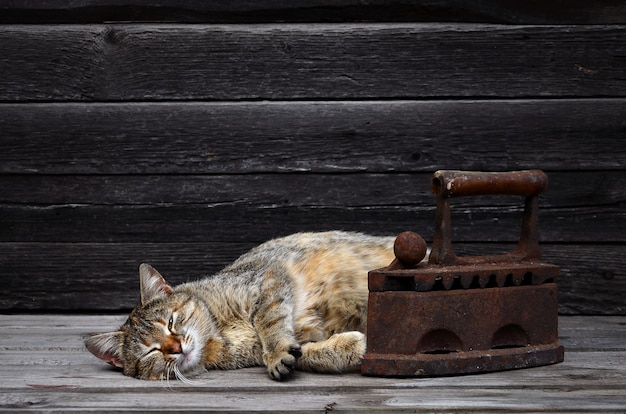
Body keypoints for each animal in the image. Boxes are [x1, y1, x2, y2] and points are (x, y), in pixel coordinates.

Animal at [85, 231, 416, 380]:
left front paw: (278, 349)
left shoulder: (268, 277)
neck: (219, 333)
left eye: (171, 321)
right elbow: (307, 353)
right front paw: (346, 347)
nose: (176, 347)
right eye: (150, 351)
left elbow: (267, 319)